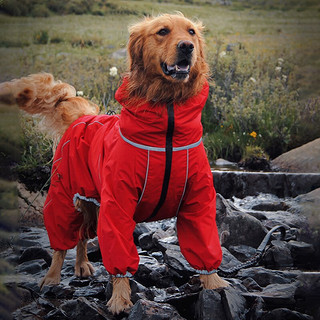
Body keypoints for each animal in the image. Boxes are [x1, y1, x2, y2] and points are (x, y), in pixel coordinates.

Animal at [1, 13, 229, 316]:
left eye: (191, 32)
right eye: (162, 31)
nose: (187, 47)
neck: (167, 124)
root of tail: (82, 117)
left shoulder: (198, 199)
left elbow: (204, 242)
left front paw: (215, 284)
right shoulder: (117, 202)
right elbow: (118, 252)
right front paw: (120, 299)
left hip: (91, 199)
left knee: (82, 234)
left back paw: (83, 265)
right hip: (64, 195)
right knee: (62, 240)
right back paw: (52, 277)